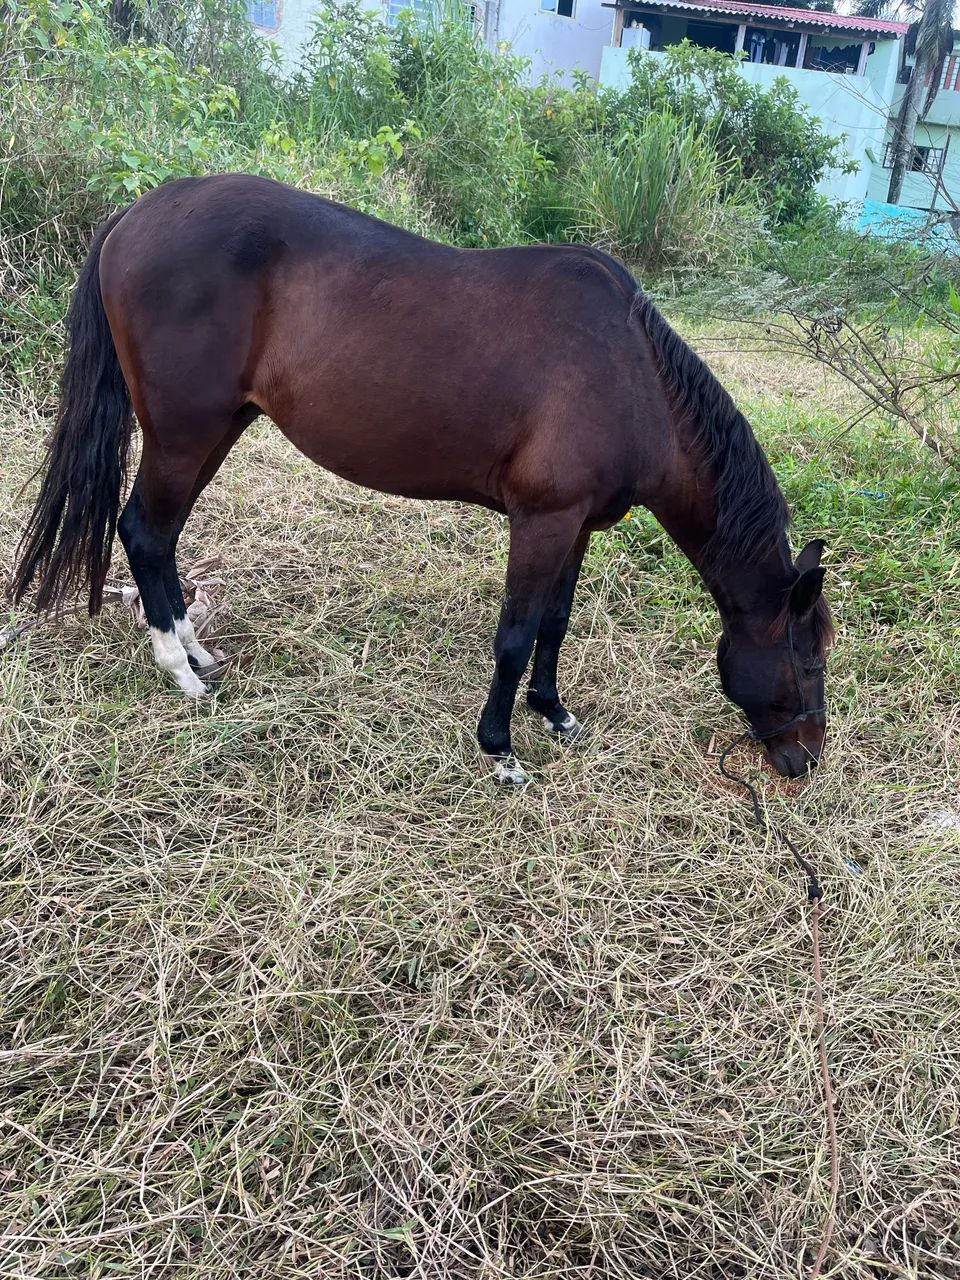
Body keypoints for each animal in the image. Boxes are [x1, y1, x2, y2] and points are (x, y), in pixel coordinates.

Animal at [10, 173, 833, 784]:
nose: (805, 761)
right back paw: (179, 671)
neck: (632, 379)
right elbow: (515, 633)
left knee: (163, 536)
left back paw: (195, 649)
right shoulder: (542, 522)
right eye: (808, 657)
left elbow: (555, 624)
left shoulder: (576, 527)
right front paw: (500, 749)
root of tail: (139, 212)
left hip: (217, 429)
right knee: (145, 531)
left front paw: (553, 712)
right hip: (185, 434)